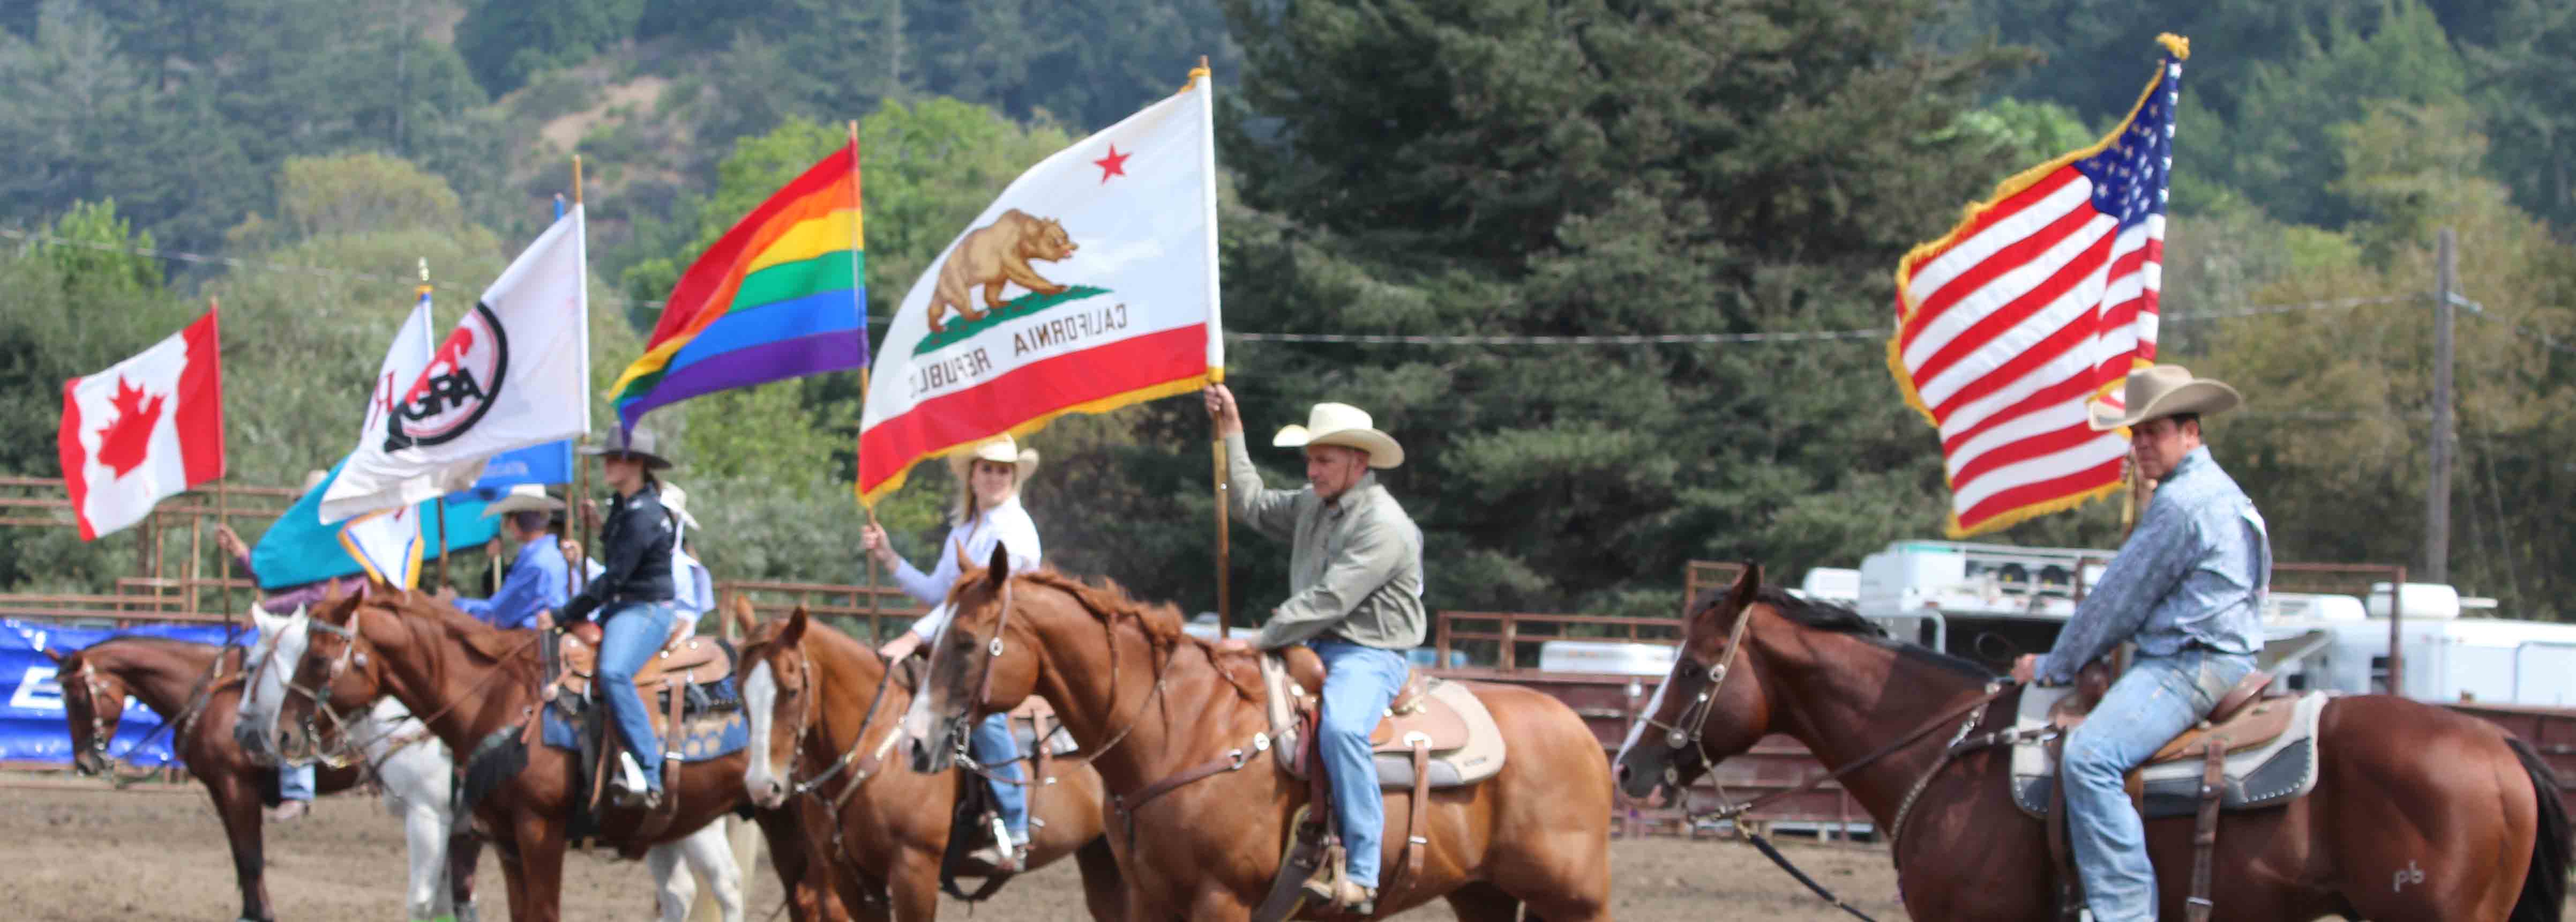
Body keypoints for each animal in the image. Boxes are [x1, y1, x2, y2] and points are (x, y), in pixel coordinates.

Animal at [42, 633, 365, 922]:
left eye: (79, 699)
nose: (85, 763)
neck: (212, 697)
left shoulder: (238, 787)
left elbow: (252, 856)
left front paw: (264, 914)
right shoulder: (219, 789)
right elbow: (239, 854)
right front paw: (250, 913)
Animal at [731, 605, 1123, 922]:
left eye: (792, 690)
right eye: (739, 691)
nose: (762, 786)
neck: (877, 750)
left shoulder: (914, 869)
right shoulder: (852, 878)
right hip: (1101, 855)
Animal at [896, 551, 1597, 917]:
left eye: (966, 642)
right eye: (931, 640)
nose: (914, 742)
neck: (1178, 730)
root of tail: (1579, 729)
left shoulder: (1221, 899)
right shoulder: (1148, 897)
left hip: (1574, 898)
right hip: (1483, 893)